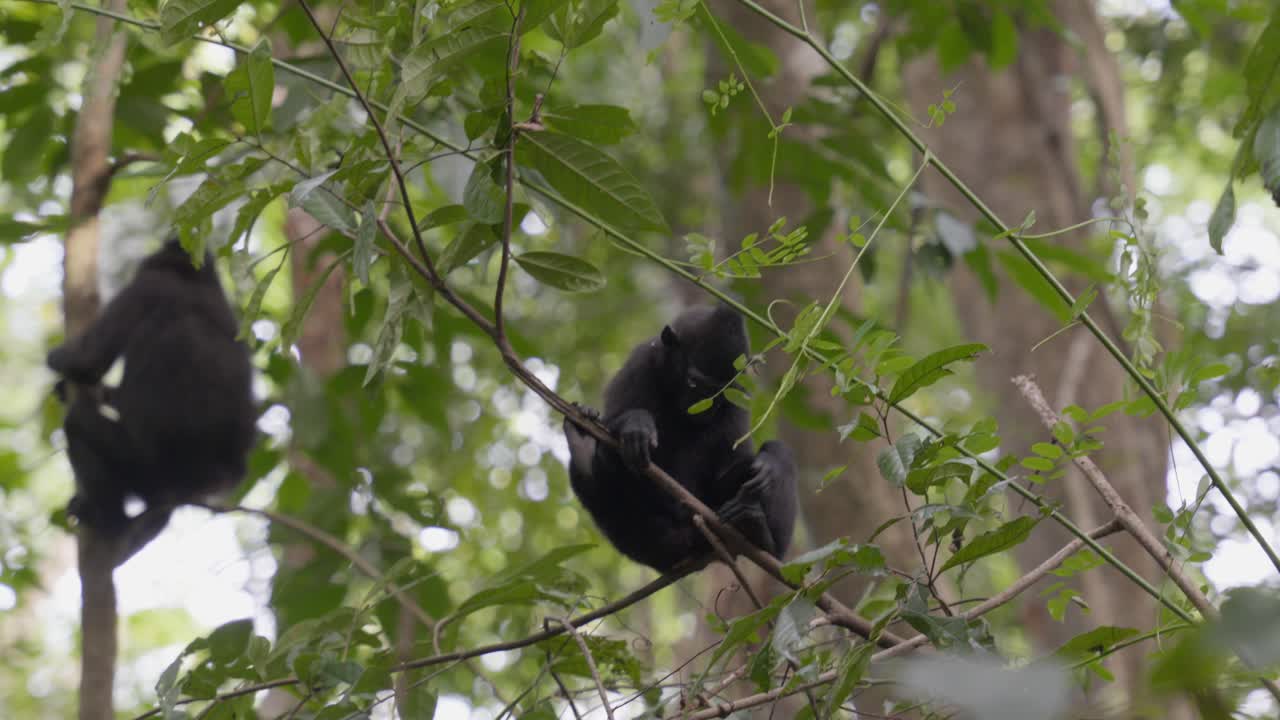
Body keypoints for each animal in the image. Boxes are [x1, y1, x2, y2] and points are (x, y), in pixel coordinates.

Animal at [47, 238, 257, 543]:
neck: (194, 281)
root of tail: (217, 472)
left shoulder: (145, 287)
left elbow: (86, 362)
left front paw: (59, 362)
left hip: (146, 468)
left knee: (78, 423)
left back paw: (111, 523)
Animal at [562, 304, 798, 573]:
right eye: (694, 383)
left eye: (721, 390)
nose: (706, 408)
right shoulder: (639, 364)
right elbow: (613, 423)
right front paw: (634, 423)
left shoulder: (739, 393)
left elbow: (733, 461)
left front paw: (769, 465)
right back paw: (582, 448)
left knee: (771, 458)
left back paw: (761, 534)